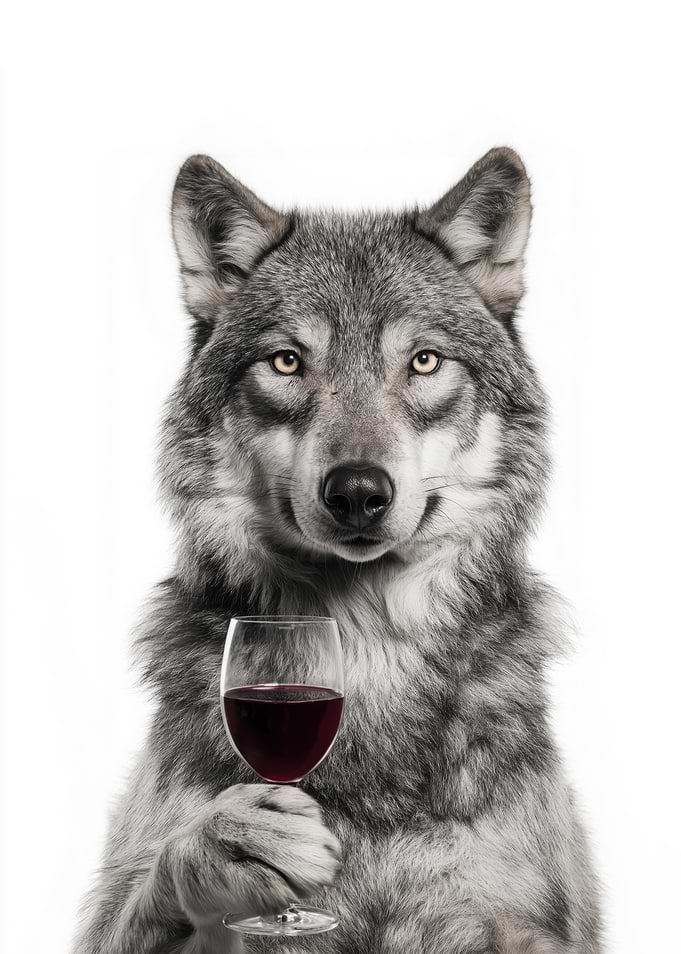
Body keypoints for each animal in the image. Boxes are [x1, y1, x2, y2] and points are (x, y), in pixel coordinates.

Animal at [73, 147, 602, 953]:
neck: (363, 646)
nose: (356, 491)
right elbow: (181, 862)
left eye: (424, 362)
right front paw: (231, 844)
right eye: (288, 363)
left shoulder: (519, 926)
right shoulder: (114, 920)